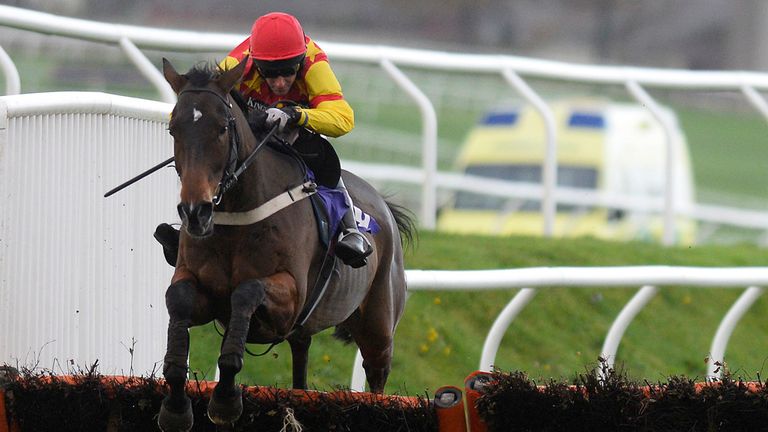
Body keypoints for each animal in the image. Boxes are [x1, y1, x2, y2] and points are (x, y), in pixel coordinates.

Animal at [156, 58, 416, 432]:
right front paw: (176, 405)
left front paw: (225, 399)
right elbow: (178, 299)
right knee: (301, 363)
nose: (195, 211)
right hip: (304, 333)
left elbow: (246, 291)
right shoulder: (202, 288)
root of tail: (385, 207)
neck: (241, 214)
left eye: (222, 128)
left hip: (379, 326)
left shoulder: (289, 300)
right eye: (173, 129)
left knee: (378, 377)